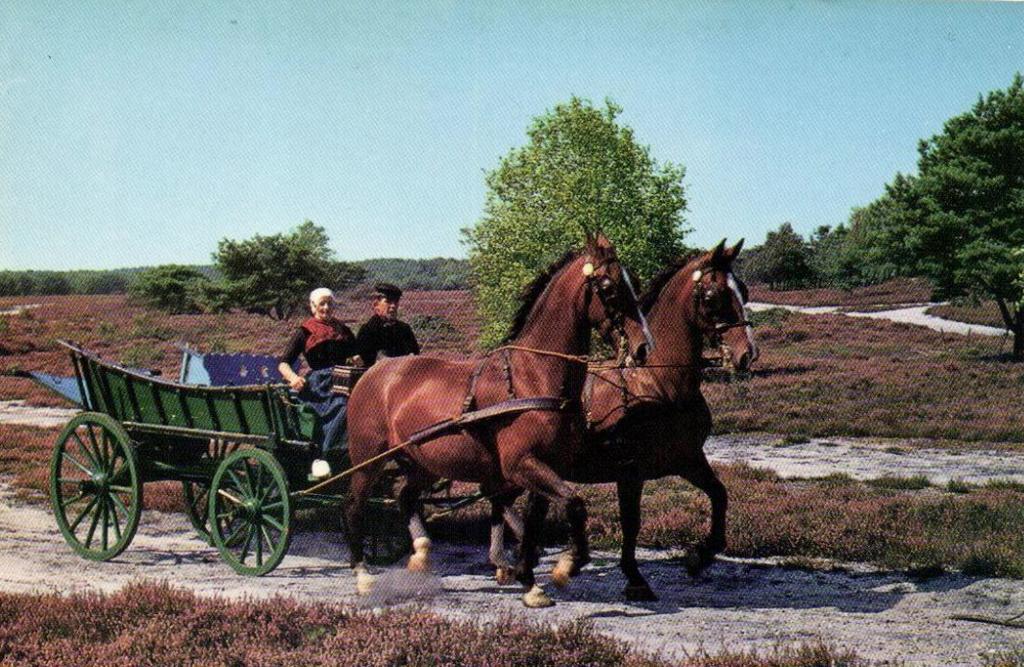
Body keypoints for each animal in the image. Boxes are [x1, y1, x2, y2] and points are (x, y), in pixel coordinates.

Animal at [342, 232, 647, 606]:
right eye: (608, 286)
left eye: (634, 282)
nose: (642, 347)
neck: (534, 375)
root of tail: (374, 371)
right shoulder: (521, 464)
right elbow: (573, 504)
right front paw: (566, 566)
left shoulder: (543, 467)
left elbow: (535, 521)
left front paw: (529, 581)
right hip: (368, 459)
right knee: (354, 507)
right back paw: (363, 576)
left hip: (423, 461)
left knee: (405, 496)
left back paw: (421, 554)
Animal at [483, 238, 757, 598]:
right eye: (713, 296)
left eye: (743, 291)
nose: (747, 353)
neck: (658, 383)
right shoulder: (630, 470)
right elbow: (631, 522)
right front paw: (635, 577)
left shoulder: (687, 459)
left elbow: (719, 495)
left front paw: (700, 555)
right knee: (499, 500)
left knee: (501, 502)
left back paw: (508, 562)